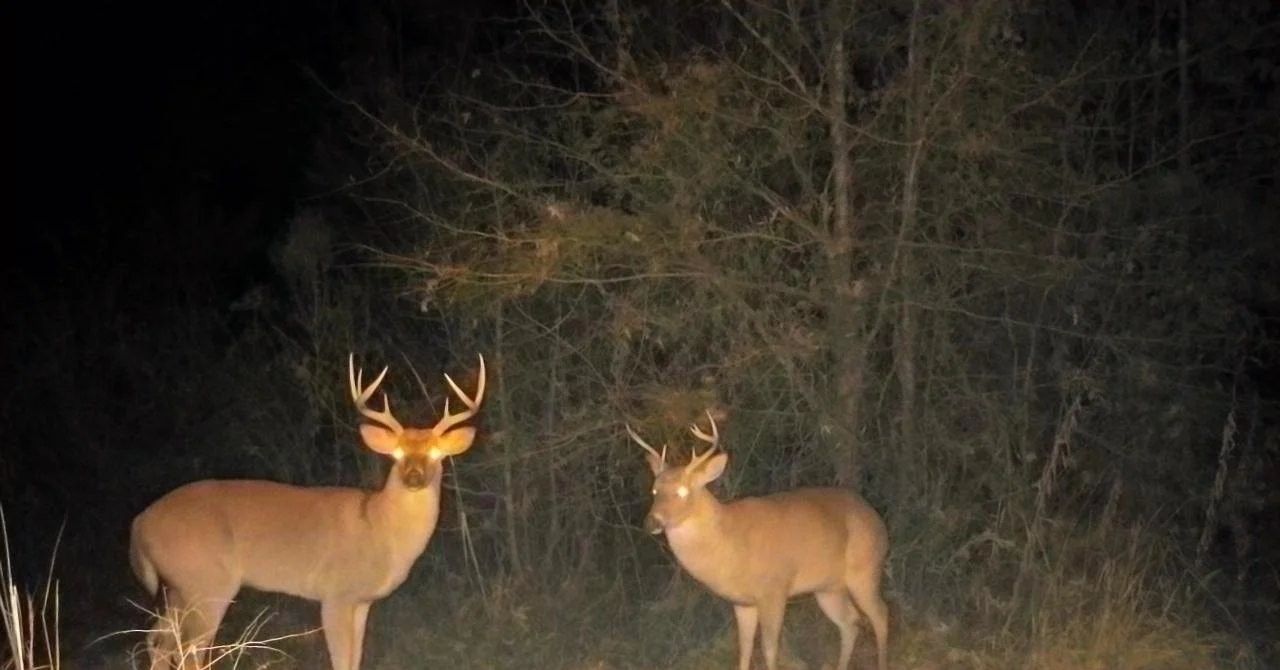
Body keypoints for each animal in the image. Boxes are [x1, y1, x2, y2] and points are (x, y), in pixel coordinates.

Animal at [129, 353, 485, 670]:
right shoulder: (336, 593)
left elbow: (356, 659)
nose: (413, 476)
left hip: (179, 587)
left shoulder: (363, 601)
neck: (379, 525)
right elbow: (341, 661)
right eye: (396, 454)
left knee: (157, 641)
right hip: (207, 582)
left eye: (437, 454)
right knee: (187, 652)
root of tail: (139, 524)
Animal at [628, 411, 890, 670]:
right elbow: (744, 649)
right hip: (828, 588)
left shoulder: (774, 588)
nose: (651, 522)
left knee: (881, 616)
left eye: (683, 491)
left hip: (865, 571)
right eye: (654, 490)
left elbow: (769, 648)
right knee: (850, 623)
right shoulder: (743, 602)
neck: (729, 543)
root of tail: (877, 519)